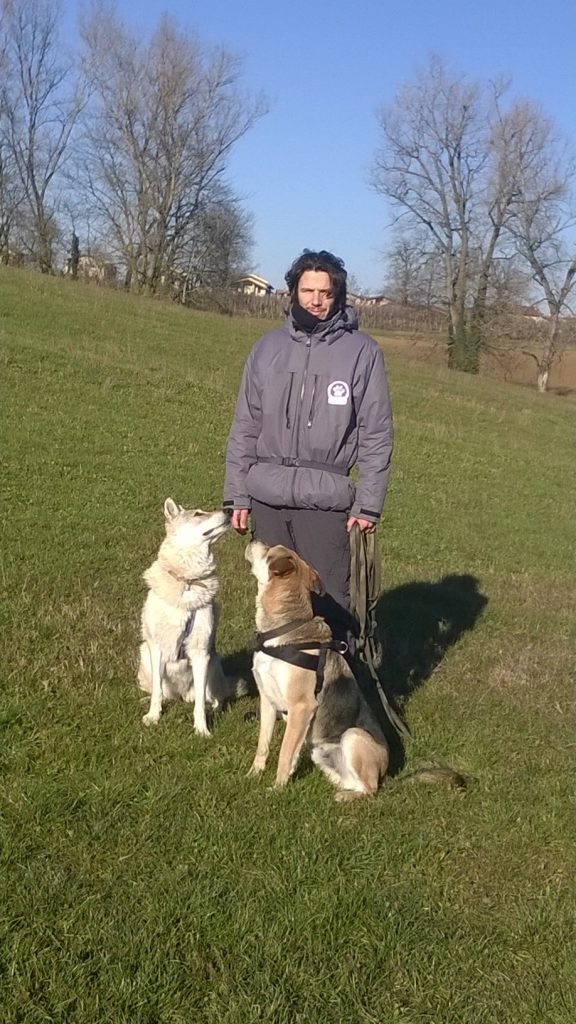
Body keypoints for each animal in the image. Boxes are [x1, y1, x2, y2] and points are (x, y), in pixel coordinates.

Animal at [136, 497, 235, 733]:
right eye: (198, 514)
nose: (229, 510)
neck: (187, 582)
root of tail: (181, 695)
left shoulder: (200, 653)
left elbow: (199, 703)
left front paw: (202, 729)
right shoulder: (157, 647)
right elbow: (157, 691)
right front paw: (153, 716)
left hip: (213, 663)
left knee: (213, 698)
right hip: (144, 653)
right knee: (159, 691)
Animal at [243, 544, 387, 798]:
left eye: (269, 551)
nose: (252, 542)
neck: (281, 631)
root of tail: (387, 766)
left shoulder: (301, 706)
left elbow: (284, 752)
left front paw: (276, 789)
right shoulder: (267, 699)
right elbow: (263, 745)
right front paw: (253, 775)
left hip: (353, 736)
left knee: (370, 788)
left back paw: (345, 796)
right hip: (319, 752)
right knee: (351, 781)